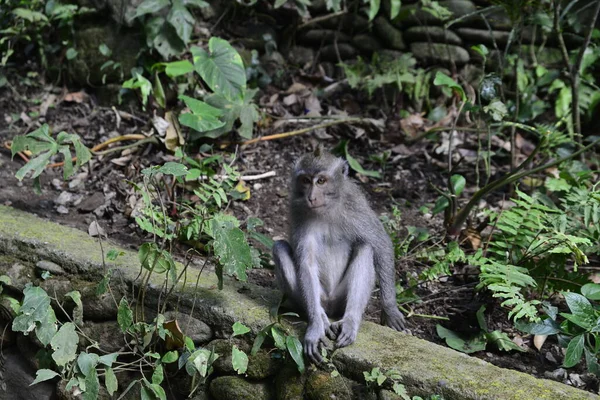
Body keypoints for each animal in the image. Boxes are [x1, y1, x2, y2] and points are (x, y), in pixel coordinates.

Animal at [274, 146, 408, 362]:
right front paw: (315, 327)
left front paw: (390, 310)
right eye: (305, 180)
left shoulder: (355, 205)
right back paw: (321, 318)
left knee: (366, 247)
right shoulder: (298, 209)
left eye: (321, 181)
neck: (326, 207)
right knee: (279, 248)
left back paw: (349, 321)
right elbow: (306, 264)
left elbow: (380, 242)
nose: (311, 197)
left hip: (339, 299)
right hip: (316, 297)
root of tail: (330, 305)